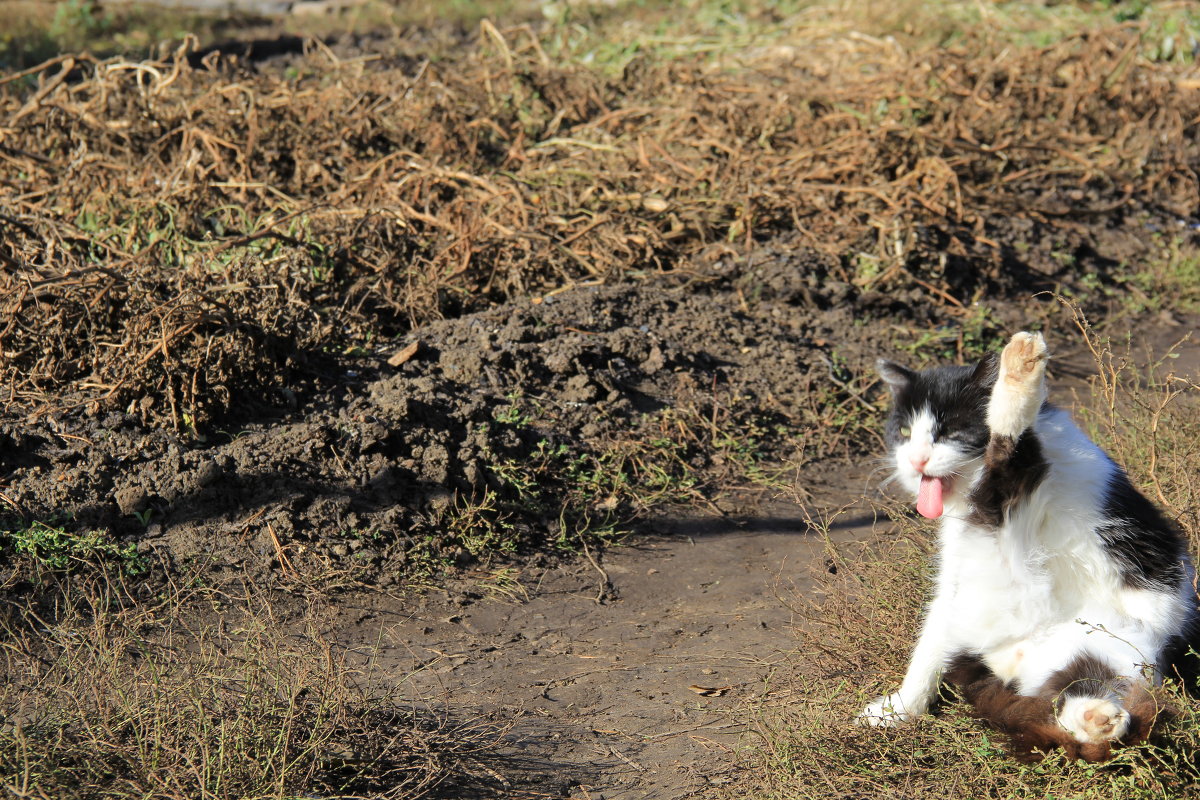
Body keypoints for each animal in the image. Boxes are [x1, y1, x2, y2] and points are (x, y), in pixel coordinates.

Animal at [864, 333, 1200, 762]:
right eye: (905, 432)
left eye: (953, 431)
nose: (917, 460)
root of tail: (1008, 662)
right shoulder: (953, 575)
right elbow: (928, 646)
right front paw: (899, 710)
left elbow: (1012, 446)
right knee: (1067, 706)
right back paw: (1097, 719)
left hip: (1111, 643)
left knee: (1009, 454)